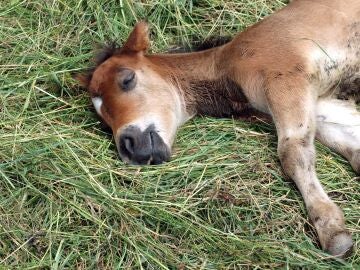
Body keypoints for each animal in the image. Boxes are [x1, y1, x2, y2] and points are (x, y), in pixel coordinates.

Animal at [76, 0, 360, 258]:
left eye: (127, 79)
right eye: (103, 120)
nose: (128, 146)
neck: (226, 70)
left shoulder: (285, 79)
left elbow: (293, 153)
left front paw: (332, 231)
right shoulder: (324, 108)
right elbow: (353, 151)